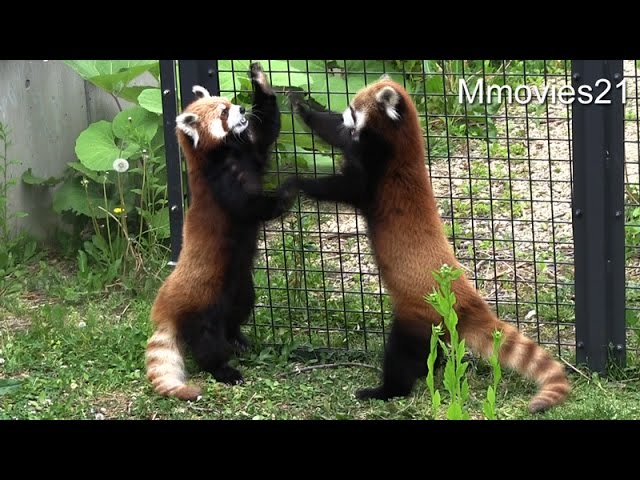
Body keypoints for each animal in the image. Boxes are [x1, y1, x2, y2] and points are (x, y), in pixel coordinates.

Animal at [146, 63, 298, 402]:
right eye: (224, 112)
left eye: (229, 102)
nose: (240, 108)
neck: (230, 153)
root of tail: (165, 304)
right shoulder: (222, 185)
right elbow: (250, 207)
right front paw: (285, 193)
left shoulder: (252, 148)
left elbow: (268, 126)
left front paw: (259, 77)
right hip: (203, 306)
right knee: (207, 344)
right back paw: (224, 369)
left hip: (240, 288)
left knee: (238, 312)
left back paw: (239, 339)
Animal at [288, 78, 568, 412]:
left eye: (354, 110)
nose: (344, 114)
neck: (403, 146)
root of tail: (470, 303)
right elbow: (334, 134)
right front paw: (300, 105)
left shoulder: (376, 176)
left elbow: (340, 185)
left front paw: (295, 180)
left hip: (419, 319)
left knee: (400, 359)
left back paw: (384, 390)